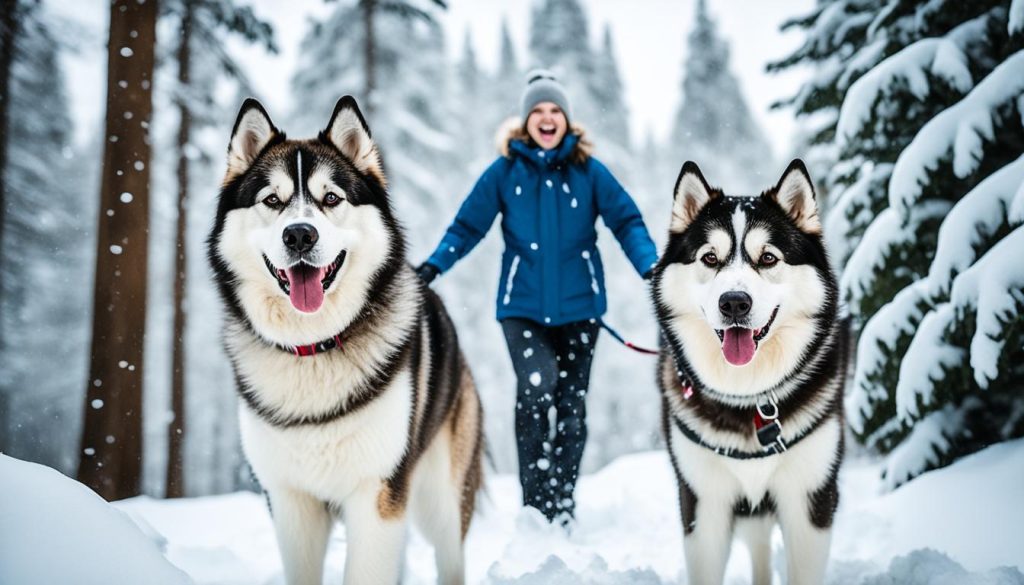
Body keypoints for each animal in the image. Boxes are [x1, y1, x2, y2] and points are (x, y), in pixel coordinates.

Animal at [207, 97, 483, 585]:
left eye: (331, 198)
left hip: (441, 498)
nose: (300, 234)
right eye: (272, 200)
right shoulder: (290, 501)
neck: (313, 347)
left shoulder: (378, 493)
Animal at [651, 159, 843, 585]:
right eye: (709, 258)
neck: (750, 396)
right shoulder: (703, 502)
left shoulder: (809, 498)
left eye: (768, 258)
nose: (734, 303)